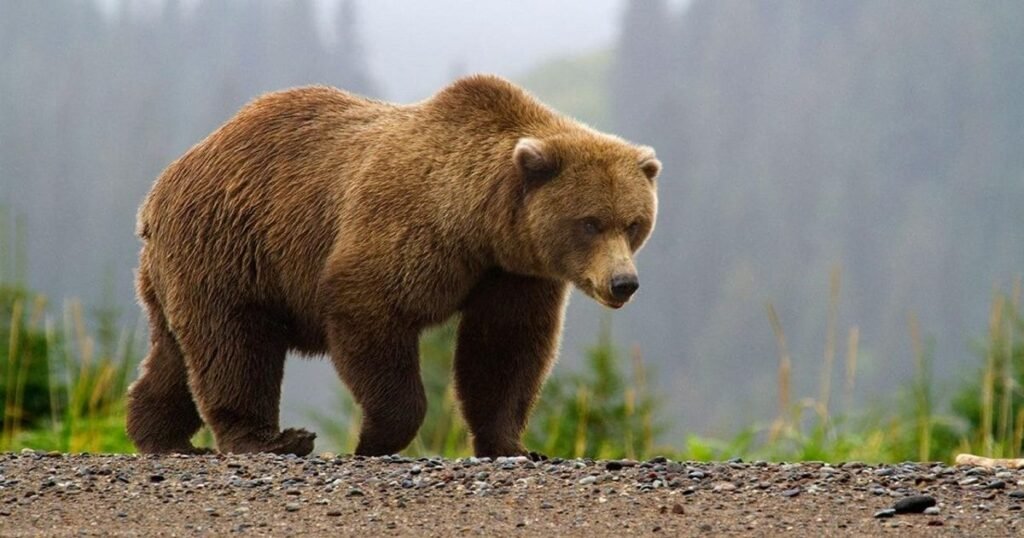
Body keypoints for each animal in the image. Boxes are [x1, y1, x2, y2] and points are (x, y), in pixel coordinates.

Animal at [125, 74, 661, 457]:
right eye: (590, 222)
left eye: (634, 223)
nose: (624, 283)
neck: (480, 224)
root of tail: (160, 189)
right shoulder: (408, 228)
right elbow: (370, 311)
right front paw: (374, 439)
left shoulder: (513, 273)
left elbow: (504, 349)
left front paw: (514, 445)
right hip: (231, 246)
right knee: (235, 345)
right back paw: (270, 440)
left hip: (183, 269)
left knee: (176, 353)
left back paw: (160, 435)